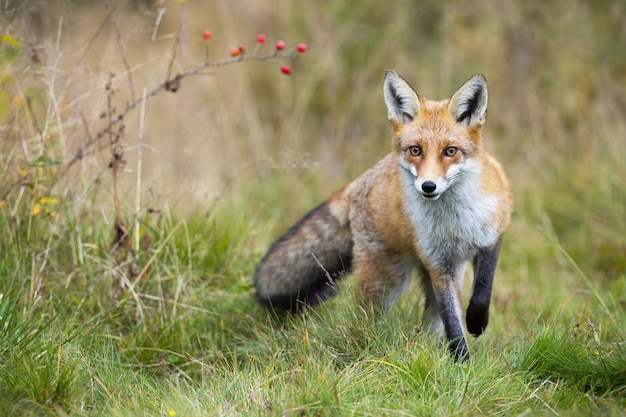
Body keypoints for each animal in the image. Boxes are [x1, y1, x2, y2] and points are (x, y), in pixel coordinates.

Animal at [254, 70, 512, 360]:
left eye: (450, 151)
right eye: (415, 150)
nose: (428, 186)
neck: (455, 221)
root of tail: (361, 180)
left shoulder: (491, 238)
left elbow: (481, 293)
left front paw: (476, 324)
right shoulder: (438, 263)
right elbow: (453, 325)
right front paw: (462, 363)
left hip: (440, 273)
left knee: (430, 321)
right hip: (388, 279)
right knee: (365, 317)